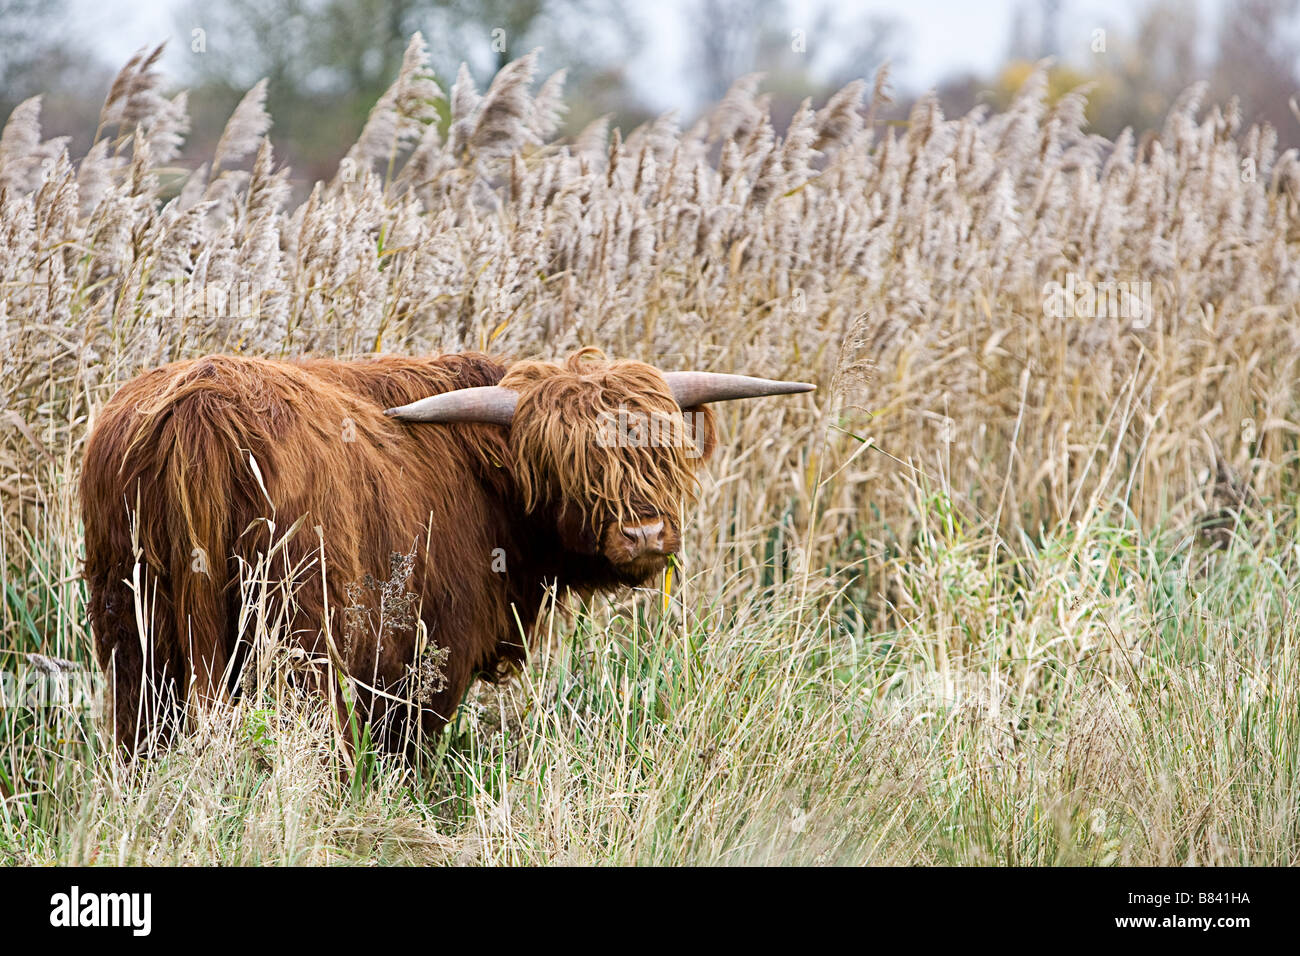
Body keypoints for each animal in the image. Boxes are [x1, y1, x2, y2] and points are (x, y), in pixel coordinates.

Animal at [80, 348, 813, 754]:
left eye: (661, 453)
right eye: (569, 464)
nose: (644, 535)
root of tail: (201, 407)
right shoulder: (431, 664)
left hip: (135, 636)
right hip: (297, 642)